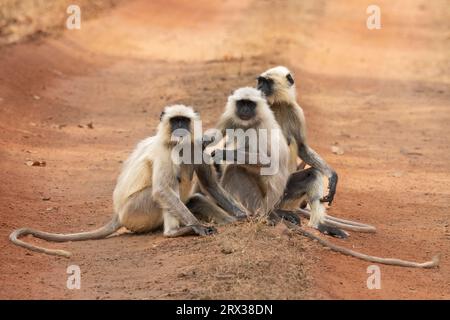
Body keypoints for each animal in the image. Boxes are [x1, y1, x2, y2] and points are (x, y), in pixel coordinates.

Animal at [9, 105, 250, 258]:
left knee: (195, 199)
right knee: (163, 189)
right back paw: (176, 231)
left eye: (184, 120)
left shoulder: (196, 146)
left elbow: (210, 185)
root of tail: (118, 214)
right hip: (136, 210)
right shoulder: (165, 151)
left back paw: (228, 221)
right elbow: (162, 190)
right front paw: (198, 227)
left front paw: (242, 216)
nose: (179, 128)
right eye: (175, 121)